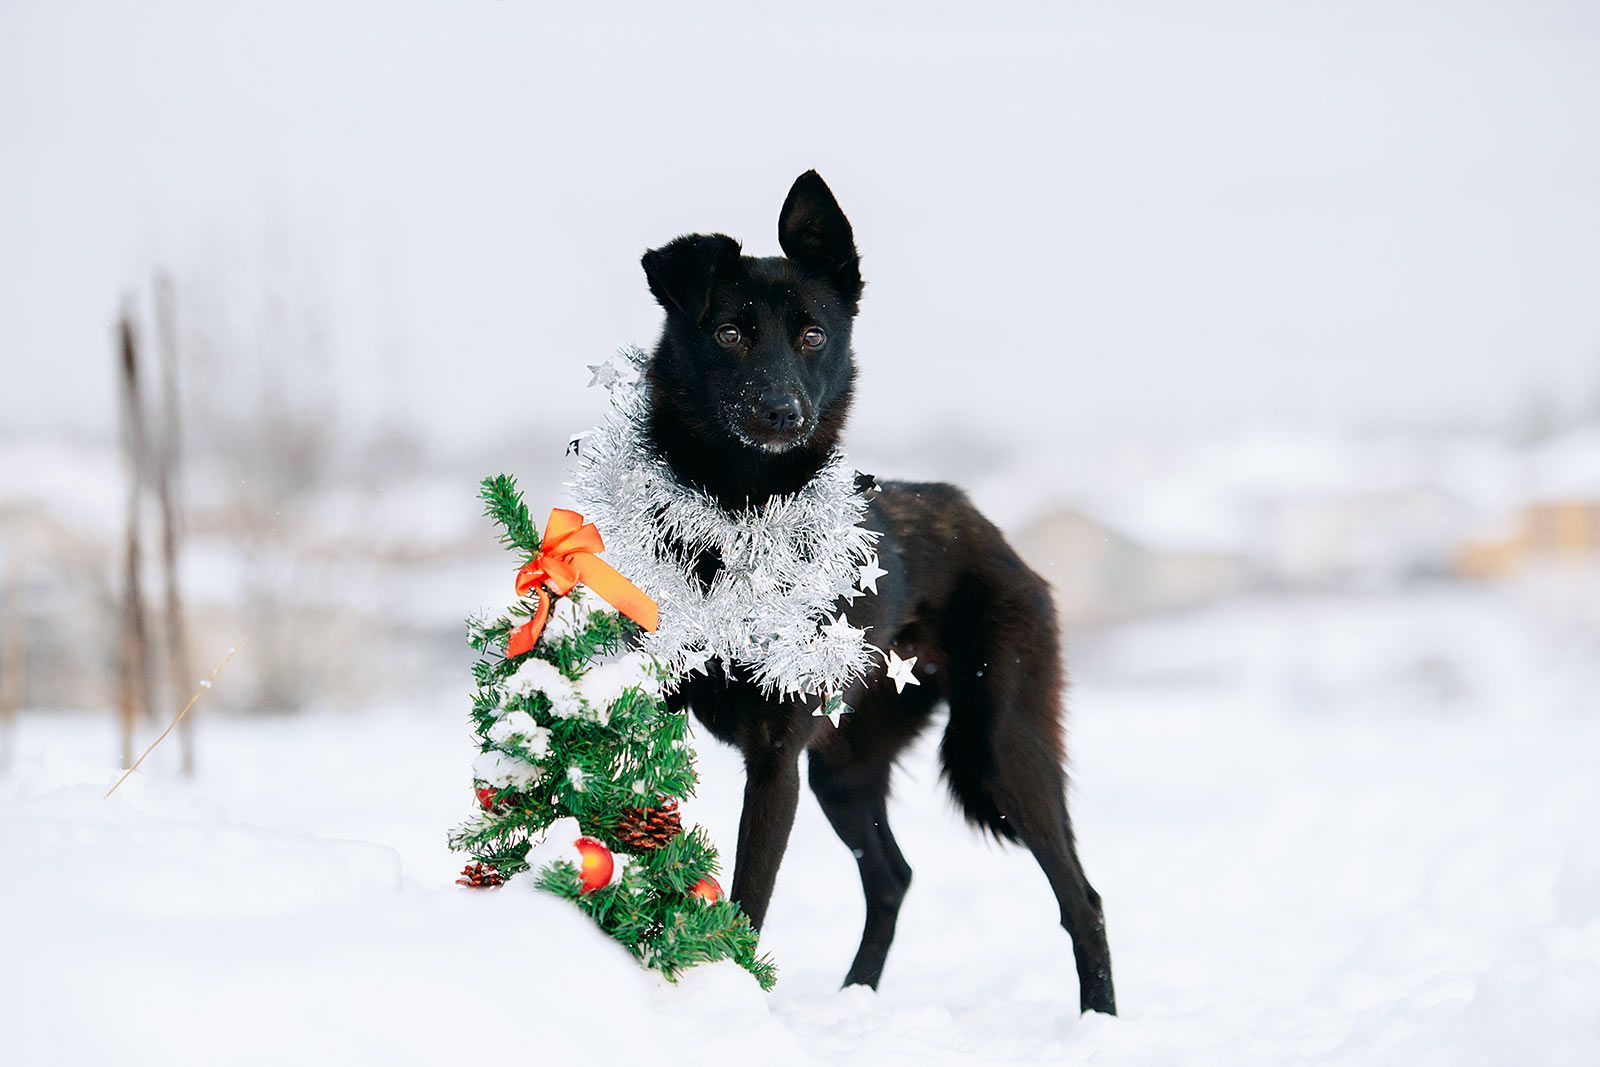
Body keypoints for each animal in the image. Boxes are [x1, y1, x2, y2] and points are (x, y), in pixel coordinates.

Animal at [636, 171, 1113, 1017]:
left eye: (812, 336)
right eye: (727, 333)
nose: (783, 415)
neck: (739, 516)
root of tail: (985, 524)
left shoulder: (775, 757)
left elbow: (747, 899)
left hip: (1002, 747)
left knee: (1079, 897)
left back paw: (1101, 1025)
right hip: (847, 766)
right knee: (894, 876)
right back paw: (855, 998)